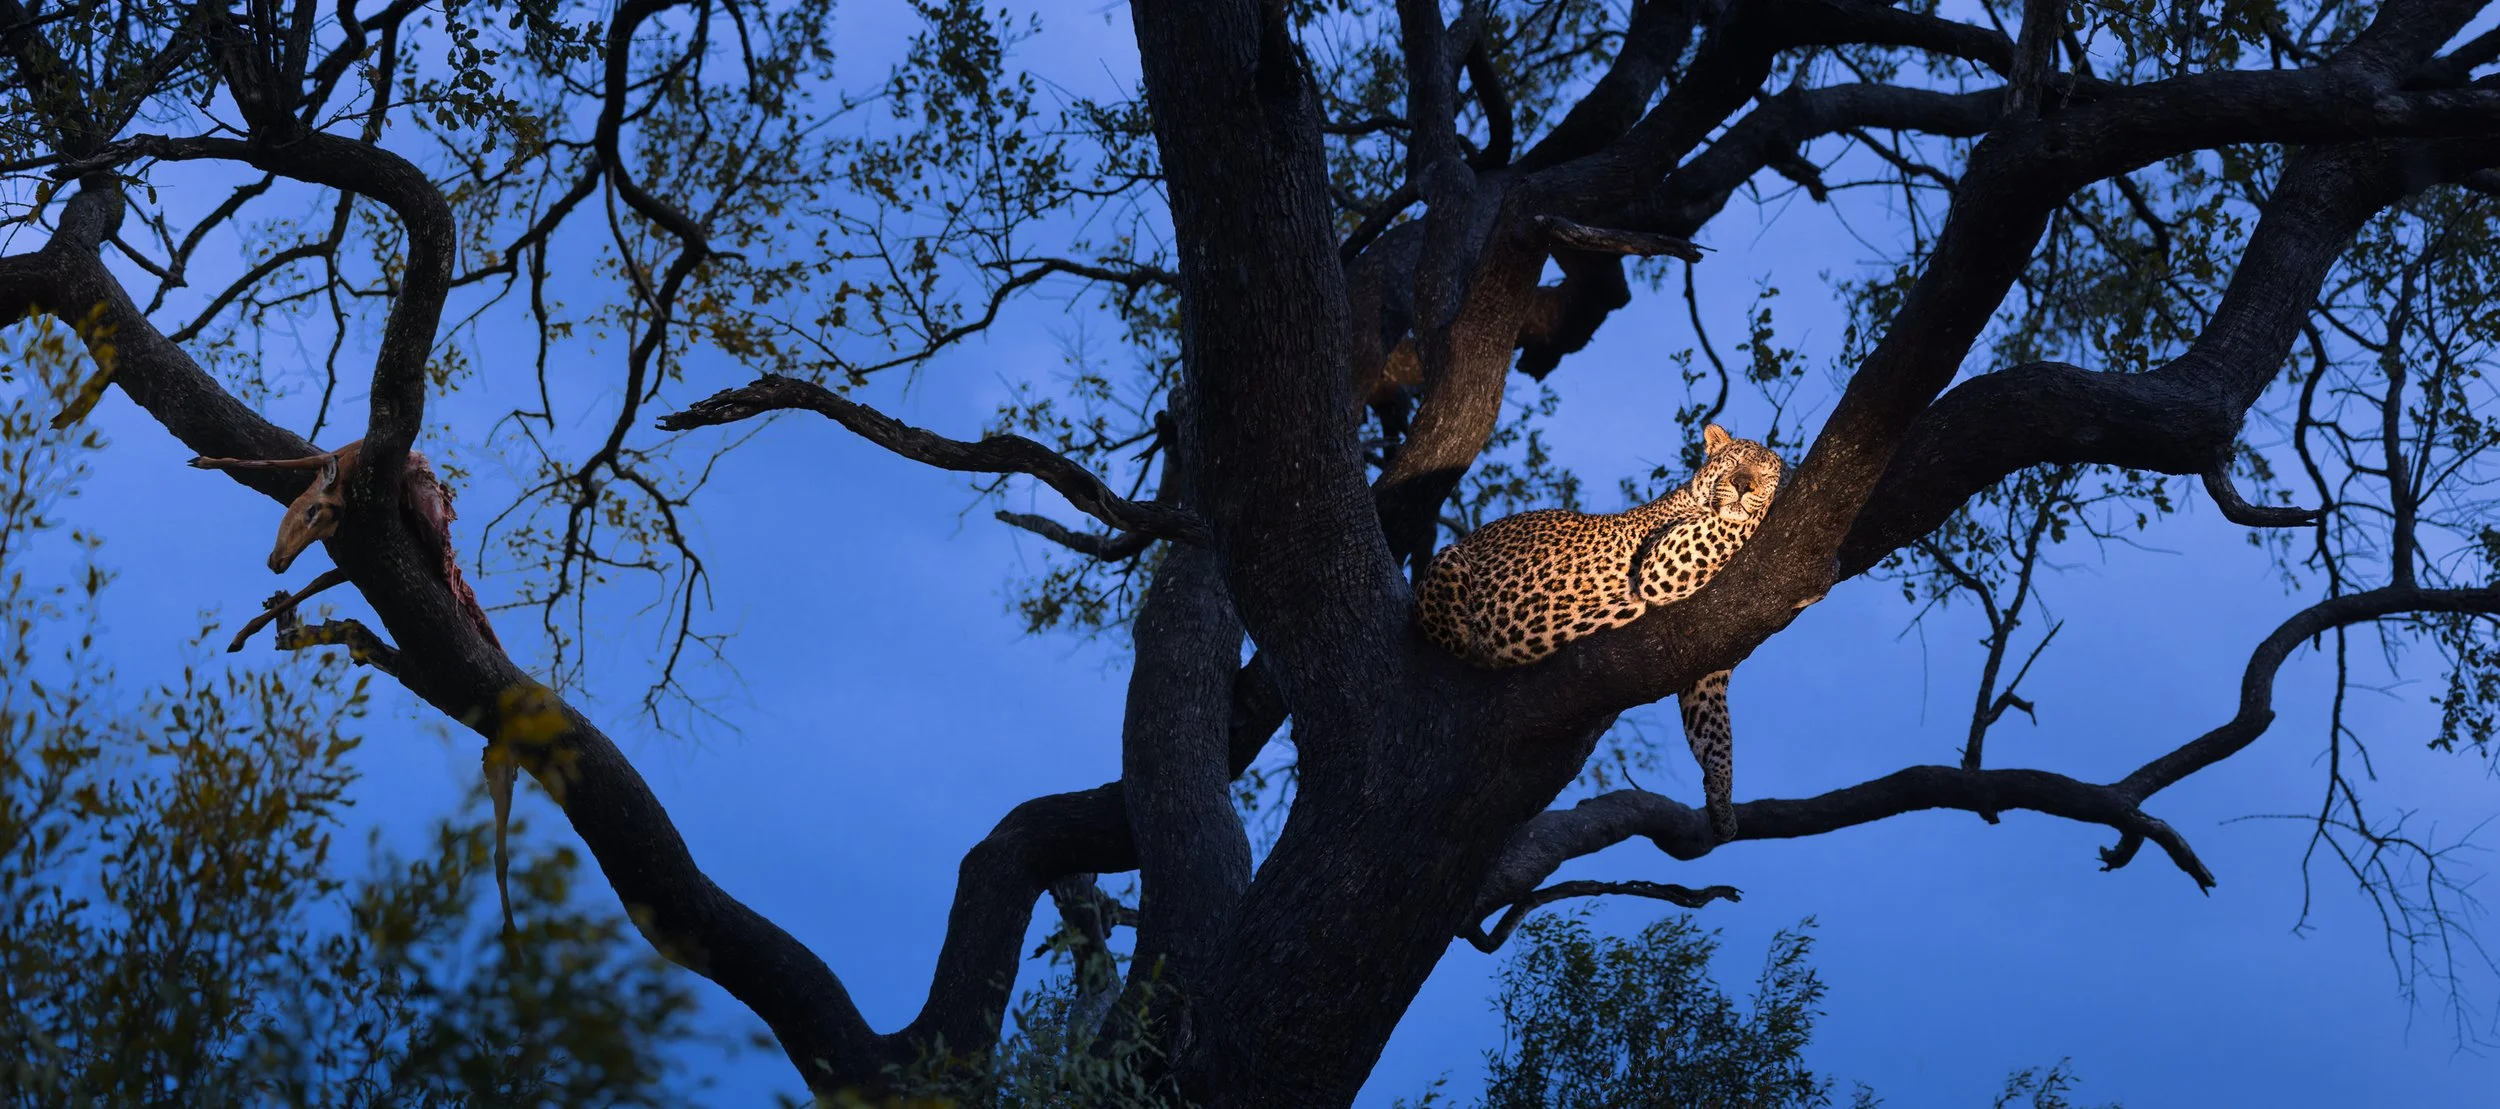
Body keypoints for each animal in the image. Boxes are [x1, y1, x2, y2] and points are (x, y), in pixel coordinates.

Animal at [1415, 423, 1785, 841]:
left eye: (1764, 473)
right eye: (1735, 462)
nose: (1743, 485)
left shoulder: (1709, 669)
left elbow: (1716, 733)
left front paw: (1722, 803)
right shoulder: (1663, 562)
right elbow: (1733, 522)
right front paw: (1773, 498)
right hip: (1449, 563)